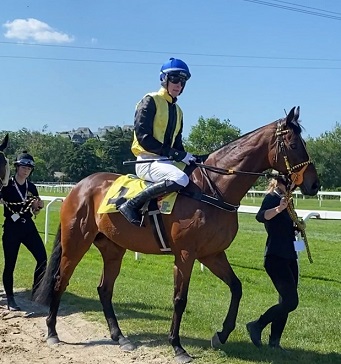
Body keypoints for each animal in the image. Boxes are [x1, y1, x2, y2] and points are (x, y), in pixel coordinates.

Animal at [34, 106, 318, 362]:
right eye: (294, 144)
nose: (314, 184)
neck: (211, 190)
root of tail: (80, 186)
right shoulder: (185, 254)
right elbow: (180, 298)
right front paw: (177, 346)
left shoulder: (212, 254)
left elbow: (236, 288)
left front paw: (222, 334)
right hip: (76, 243)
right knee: (60, 280)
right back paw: (52, 332)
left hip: (113, 248)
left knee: (104, 289)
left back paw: (120, 336)